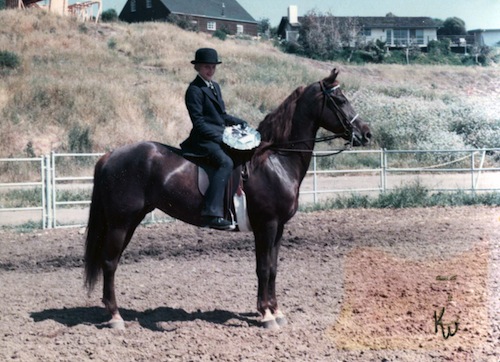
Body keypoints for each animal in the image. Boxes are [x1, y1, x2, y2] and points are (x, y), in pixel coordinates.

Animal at [84, 67, 372, 328]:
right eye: (341, 100)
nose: (366, 133)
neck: (275, 160)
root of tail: (110, 155)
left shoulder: (278, 227)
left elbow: (273, 268)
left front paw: (276, 311)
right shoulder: (266, 225)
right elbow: (263, 268)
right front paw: (266, 315)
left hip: (130, 220)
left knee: (112, 261)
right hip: (120, 222)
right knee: (109, 263)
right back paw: (115, 317)